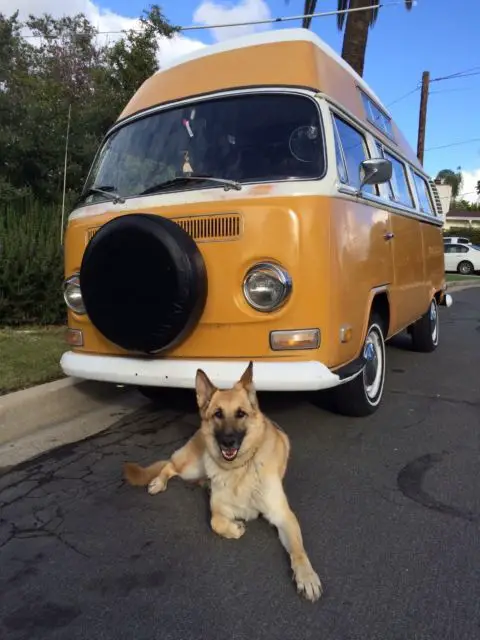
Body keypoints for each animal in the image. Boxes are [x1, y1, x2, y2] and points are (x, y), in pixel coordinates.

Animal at [123, 362, 322, 604]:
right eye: (218, 414)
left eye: (241, 414)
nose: (228, 442)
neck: (240, 469)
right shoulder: (218, 511)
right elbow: (215, 523)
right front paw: (236, 528)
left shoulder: (283, 516)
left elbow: (298, 549)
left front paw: (306, 576)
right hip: (192, 466)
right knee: (169, 465)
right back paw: (158, 482)